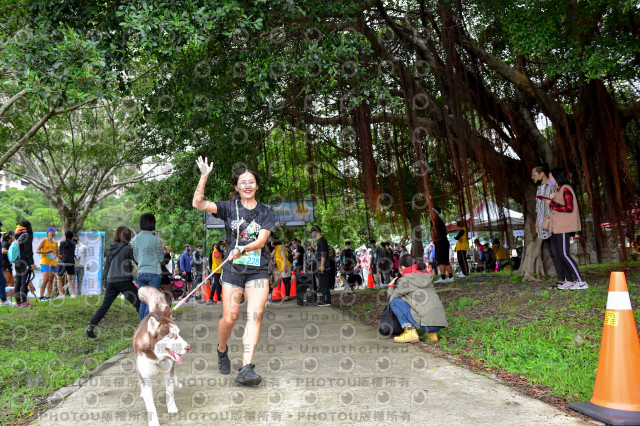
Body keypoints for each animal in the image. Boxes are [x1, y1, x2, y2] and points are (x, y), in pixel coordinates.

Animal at [134, 286, 190, 426]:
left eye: (179, 333)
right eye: (170, 336)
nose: (188, 347)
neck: (157, 359)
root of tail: (156, 312)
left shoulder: (168, 370)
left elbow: (169, 392)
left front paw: (171, 408)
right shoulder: (145, 376)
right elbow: (150, 404)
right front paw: (153, 421)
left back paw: (177, 382)